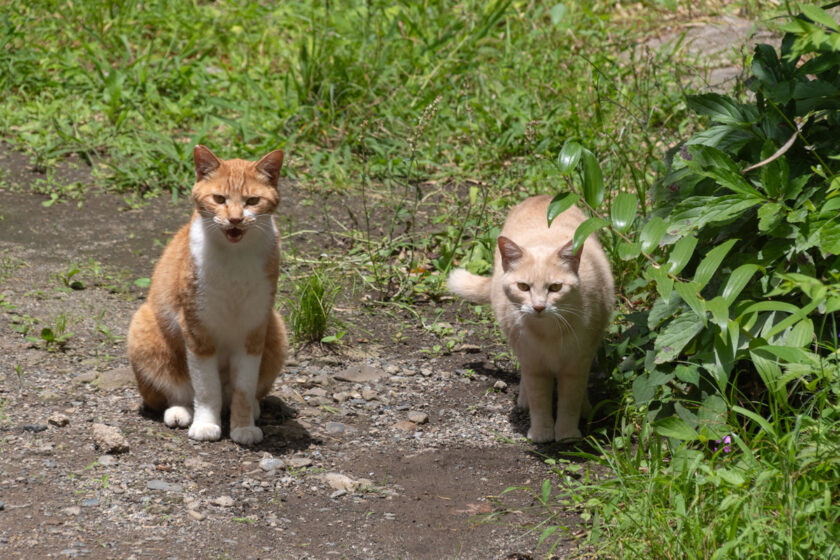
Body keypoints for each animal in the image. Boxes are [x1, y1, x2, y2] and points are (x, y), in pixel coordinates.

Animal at [127, 144, 288, 446]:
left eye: (252, 201)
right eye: (219, 198)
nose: (235, 219)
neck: (234, 258)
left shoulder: (254, 330)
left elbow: (244, 389)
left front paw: (243, 426)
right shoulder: (197, 331)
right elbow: (205, 388)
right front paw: (205, 425)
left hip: (277, 328)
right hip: (142, 326)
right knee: (177, 390)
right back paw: (179, 411)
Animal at [450, 195, 612, 444]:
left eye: (555, 288)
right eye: (523, 287)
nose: (538, 306)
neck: (549, 332)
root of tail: (542, 197)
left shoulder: (576, 365)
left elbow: (570, 402)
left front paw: (566, 435)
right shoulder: (534, 365)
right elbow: (539, 402)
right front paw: (542, 433)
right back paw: (523, 400)